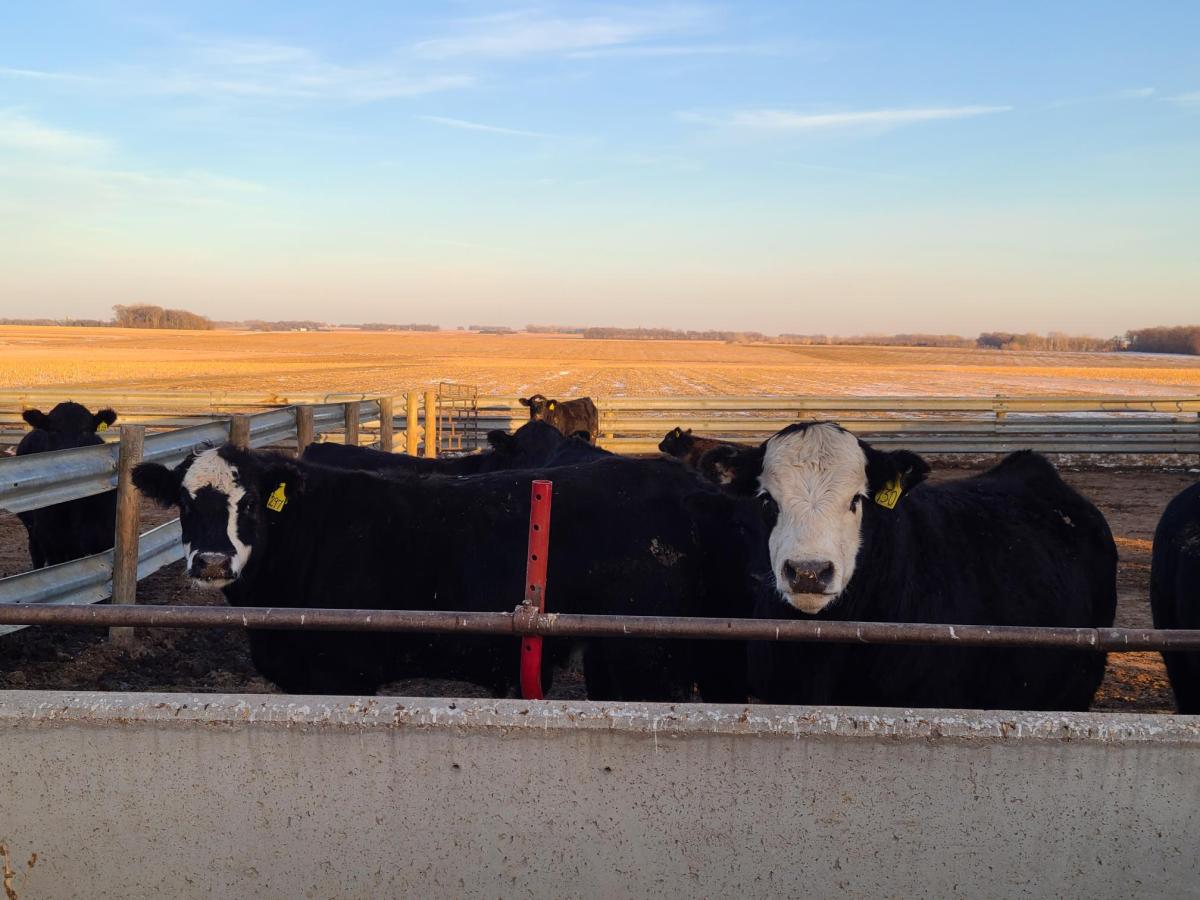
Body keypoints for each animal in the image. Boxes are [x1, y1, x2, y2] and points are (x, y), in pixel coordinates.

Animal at [133, 448, 748, 700]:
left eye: (252, 504)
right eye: (184, 503)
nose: (211, 561)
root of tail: (686, 485)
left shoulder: (342, 671)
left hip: (651, 659)